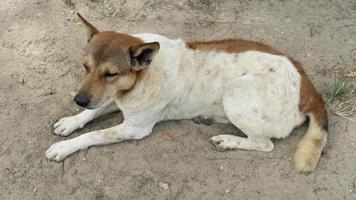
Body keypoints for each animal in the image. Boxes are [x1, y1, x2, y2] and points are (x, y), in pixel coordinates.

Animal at [46, 13, 328, 172]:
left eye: (110, 74)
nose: (79, 100)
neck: (143, 75)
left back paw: (228, 140)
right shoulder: (113, 98)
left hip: (235, 92)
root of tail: (310, 90)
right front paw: (71, 121)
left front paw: (64, 147)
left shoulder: (135, 128)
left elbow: (92, 135)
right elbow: (92, 114)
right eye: (85, 67)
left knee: (265, 144)